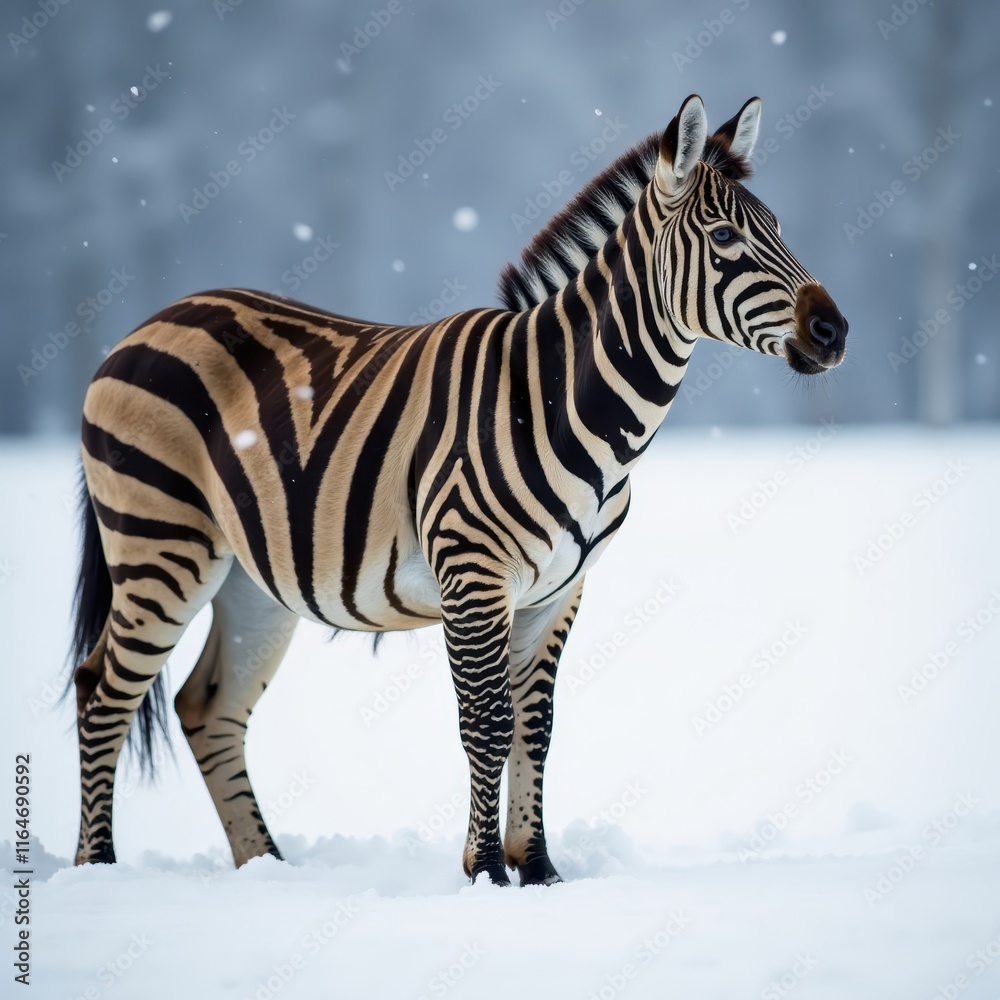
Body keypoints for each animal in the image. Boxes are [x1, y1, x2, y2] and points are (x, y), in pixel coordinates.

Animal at [69, 94, 847, 886]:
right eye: (724, 237)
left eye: (778, 229)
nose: (834, 330)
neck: (564, 405)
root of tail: (150, 322)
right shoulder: (472, 575)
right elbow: (487, 721)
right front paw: (485, 872)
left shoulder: (559, 591)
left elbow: (536, 724)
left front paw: (539, 870)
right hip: (161, 544)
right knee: (102, 694)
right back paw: (98, 867)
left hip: (250, 580)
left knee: (207, 708)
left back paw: (266, 867)